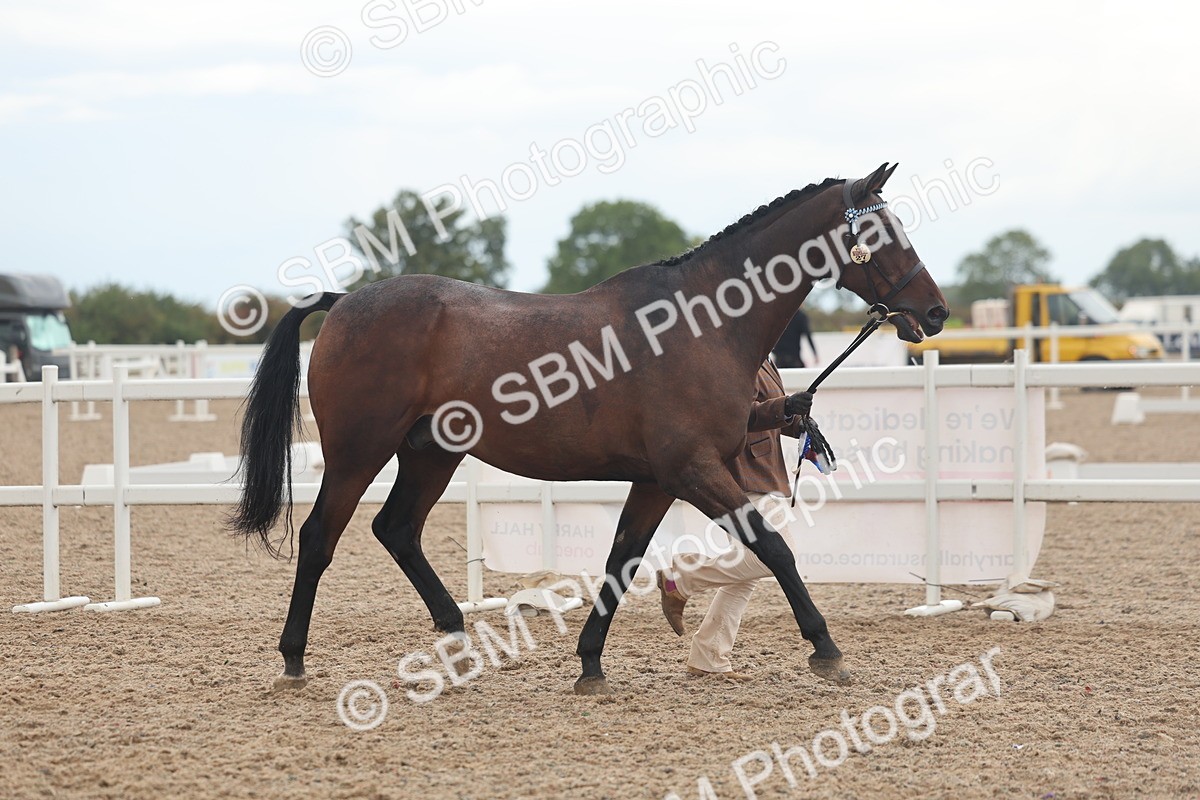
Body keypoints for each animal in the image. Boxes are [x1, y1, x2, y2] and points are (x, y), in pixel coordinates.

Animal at [229, 162, 948, 695]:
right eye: (878, 230)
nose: (935, 312)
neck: (703, 324)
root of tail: (344, 301)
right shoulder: (693, 469)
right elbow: (773, 548)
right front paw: (826, 649)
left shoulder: (658, 479)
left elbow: (622, 561)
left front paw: (591, 664)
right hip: (359, 452)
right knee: (321, 538)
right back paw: (294, 660)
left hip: (431, 454)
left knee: (397, 529)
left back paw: (458, 641)